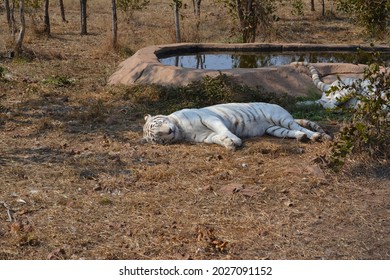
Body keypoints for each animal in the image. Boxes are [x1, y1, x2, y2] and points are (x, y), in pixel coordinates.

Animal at [142, 102, 330, 150]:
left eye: (159, 124)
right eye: (157, 137)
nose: (169, 131)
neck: (181, 130)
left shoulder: (210, 119)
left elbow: (223, 130)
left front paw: (235, 140)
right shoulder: (207, 137)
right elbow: (218, 138)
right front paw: (229, 144)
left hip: (280, 118)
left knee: (302, 127)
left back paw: (315, 136)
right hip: (274, 129)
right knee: (292, 132)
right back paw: (301, 137)